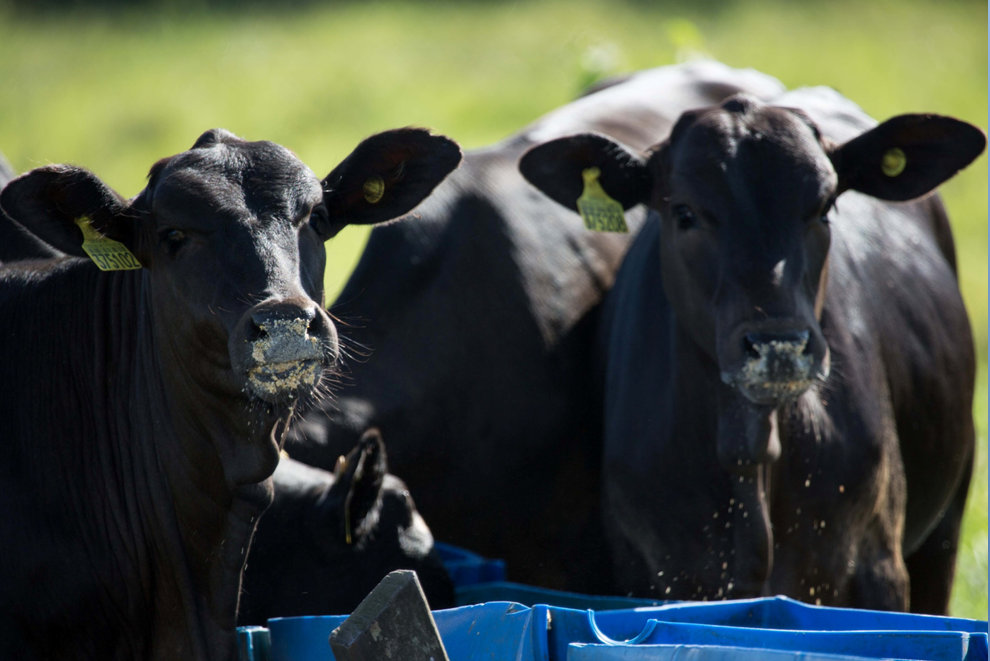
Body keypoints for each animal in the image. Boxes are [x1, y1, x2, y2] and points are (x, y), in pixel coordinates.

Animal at [520, 84, 984, 612]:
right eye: (684, 213)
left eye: (825, 208)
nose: (778, 345)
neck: (752, 450)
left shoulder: (877, 566)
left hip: (947, 521)